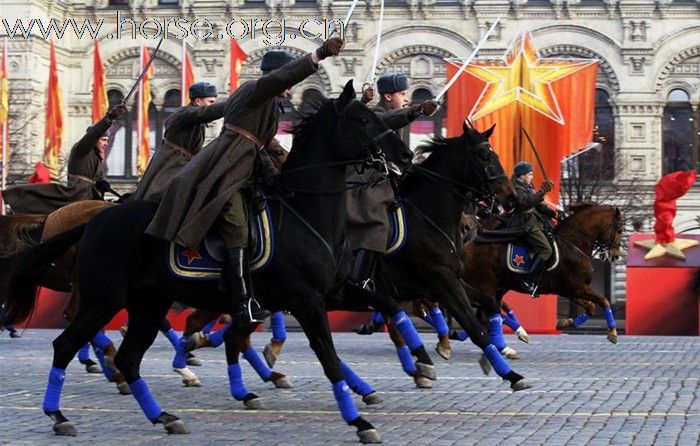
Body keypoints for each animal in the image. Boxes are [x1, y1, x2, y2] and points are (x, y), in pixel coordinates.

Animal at [1, 82, 416, 444]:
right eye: (362, 119)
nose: (405, 156)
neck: (306, 212)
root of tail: (94, 220)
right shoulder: (307, 300)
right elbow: (328, 358)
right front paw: (360, 420)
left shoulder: (334, 292)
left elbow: (386, 306)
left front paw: (414, 361)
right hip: (103, 300)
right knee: (66, 345)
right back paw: (60, 414)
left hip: (148, 303)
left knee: (131, 357)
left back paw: (163, 414)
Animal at [464, 202, 624, 352]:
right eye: (620, 229)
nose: (615, 255)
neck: (572, 245)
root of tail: (469, 244)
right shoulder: (577, 288)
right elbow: (604, 301)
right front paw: (613, 332)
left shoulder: (570, 291)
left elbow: (591, 307)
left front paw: (565, 323)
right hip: (486, 287)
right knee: (485, 314)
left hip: (496, 288)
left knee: (486, 314)